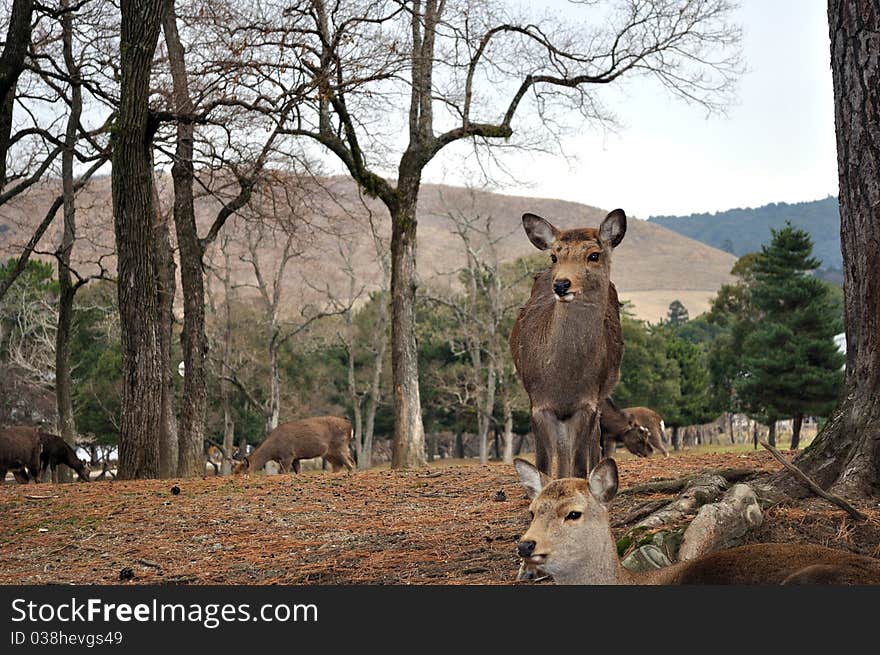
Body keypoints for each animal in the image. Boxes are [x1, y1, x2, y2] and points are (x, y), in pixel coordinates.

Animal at [508, 211, 624, 482]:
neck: (564, 379)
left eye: (594, 255)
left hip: (600, 397)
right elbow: (542, 461)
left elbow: (580, 461)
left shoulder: (587, 403)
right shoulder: (539, 402)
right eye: (554, 256)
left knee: (593, 442)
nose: (561, 284)